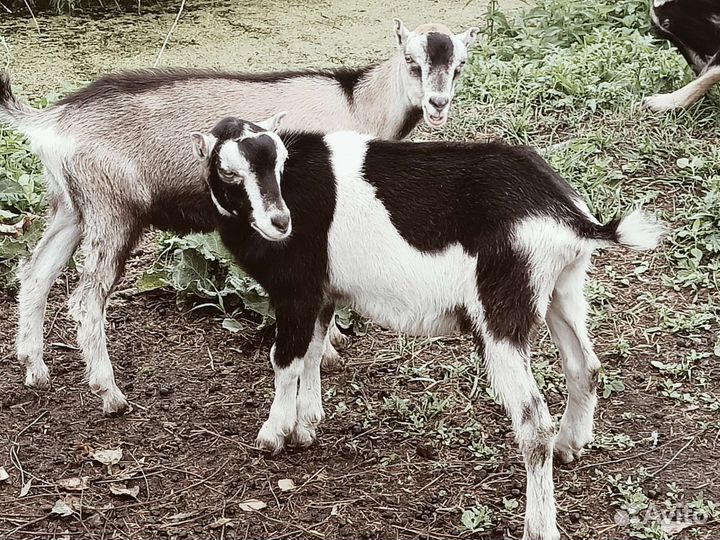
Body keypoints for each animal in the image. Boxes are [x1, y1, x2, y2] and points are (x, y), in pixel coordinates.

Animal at [0, 18, 479, 415]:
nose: (438, 104)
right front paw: (327, 355)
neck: (355, 103)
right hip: (112, 210)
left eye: (459, 65)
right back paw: (109, 393)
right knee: (86, 299)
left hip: (71, 207)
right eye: (411, 62)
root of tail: (51, 120)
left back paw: (34, 368)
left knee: (35, 271)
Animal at [191, 115, 666, 540]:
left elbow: (286, 359)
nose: (280, 223)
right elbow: (314, 350)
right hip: (561, 289)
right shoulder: (323, 291)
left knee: (534, 424)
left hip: (501, 309)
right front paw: (306, 423)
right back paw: (571, 444)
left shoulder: (297, 290)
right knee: (585, 366)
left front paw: (273, 435)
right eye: (228, 172)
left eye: (280, 162)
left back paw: (539, 525)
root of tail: (571, 217)